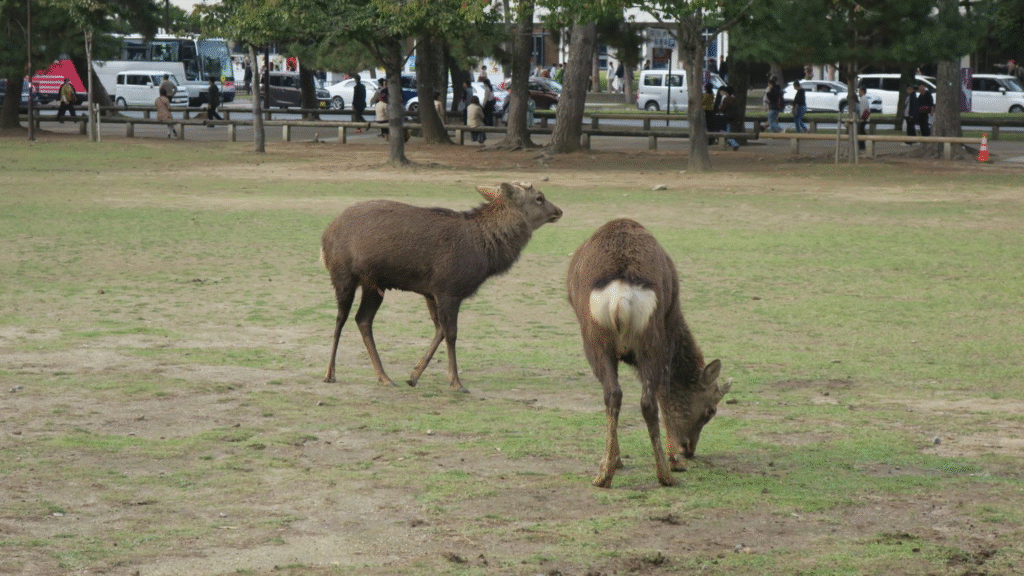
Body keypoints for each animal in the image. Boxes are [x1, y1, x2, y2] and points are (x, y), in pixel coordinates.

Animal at [320, 181, 562, 393]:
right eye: (539, 198)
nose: (559, 210)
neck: (485, 256)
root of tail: (325, 235)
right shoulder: (448, 289)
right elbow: (451, 333)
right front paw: (456, 382)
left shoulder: (431, 291)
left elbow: (440, 330)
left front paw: (413, 375)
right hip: (342, 275)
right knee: (340, 318)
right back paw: (330, 373)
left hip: (374, 285)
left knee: (363, 319)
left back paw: (384, 377)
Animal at [566, 218, 730, 488]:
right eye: (711, 410)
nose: (689, 449)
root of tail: (620, 297)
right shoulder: (666, 335)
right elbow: (665, 391)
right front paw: (675, 459)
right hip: (649, 340)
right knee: (647, 399)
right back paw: (665, 472)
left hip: (596, 341)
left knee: (615, 394)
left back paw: (606, 473)